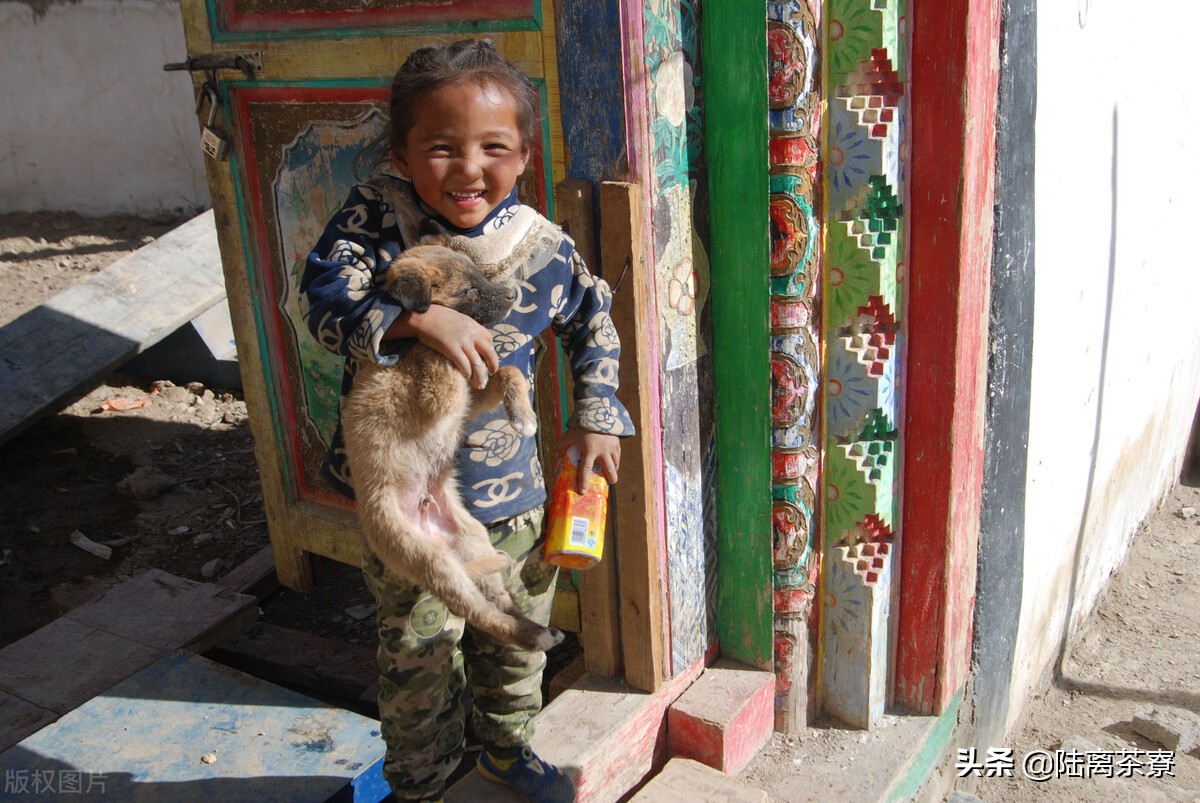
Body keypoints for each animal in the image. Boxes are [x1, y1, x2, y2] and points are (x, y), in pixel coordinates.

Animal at [338, 230, 561, 652]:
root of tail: (428, 520)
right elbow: (452, 357)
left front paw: (522, 416)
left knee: (498, 601)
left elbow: (505, 372)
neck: (408, 345)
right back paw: (530, 634)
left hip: (473, 540)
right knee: (479, 613)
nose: (511, 294)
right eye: (469, 290)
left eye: (481, 274)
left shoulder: (468, 399)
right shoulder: (437, 392)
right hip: (432, 562)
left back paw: (535, 629)